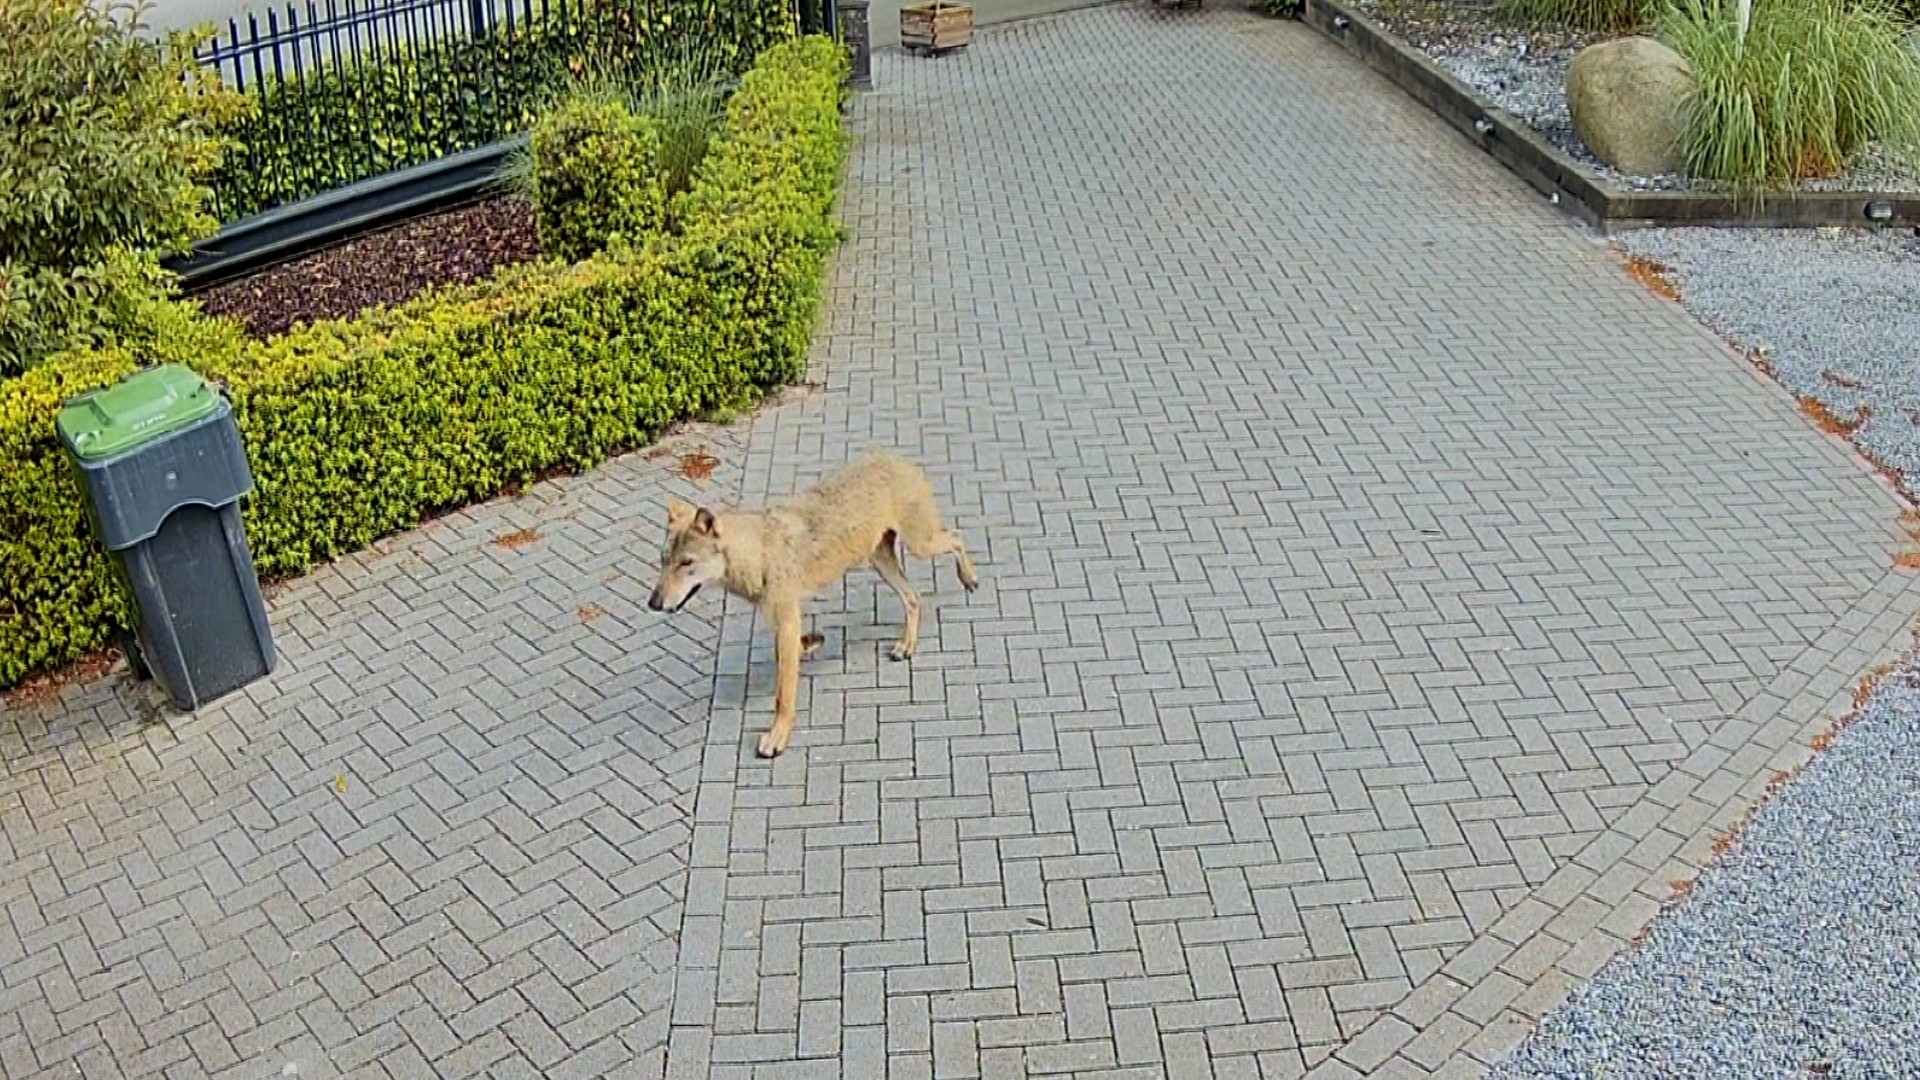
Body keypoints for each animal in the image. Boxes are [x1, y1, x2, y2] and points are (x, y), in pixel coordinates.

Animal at [646, 455, 981, 757]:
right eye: (663, 561)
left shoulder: (786, 617)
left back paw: (969, 578)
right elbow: (789, 654)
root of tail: (899, 459)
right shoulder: (781, 619)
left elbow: (784, 693)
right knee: (914, 598)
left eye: (686, 563)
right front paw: (809, 644)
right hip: (882, 561)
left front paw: (777, 737)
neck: (756, 553)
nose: (653, 603)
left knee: (956, 537)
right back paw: (906, 645)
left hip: (919, 545)